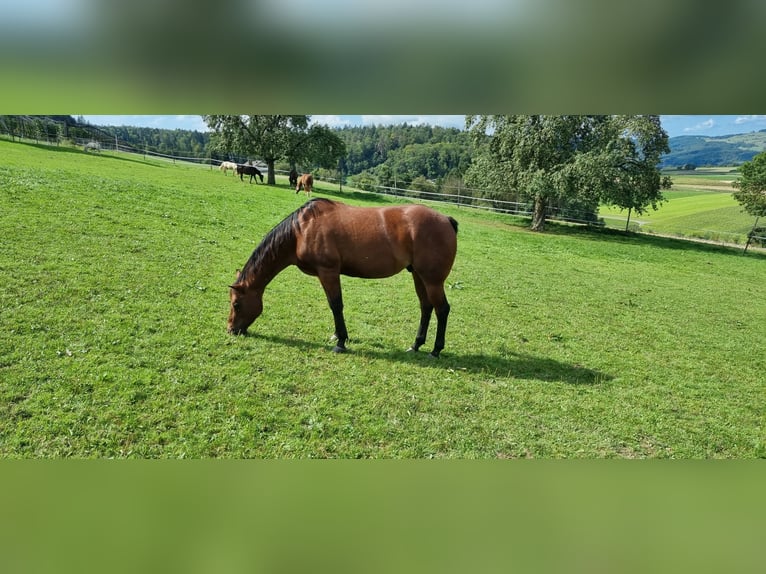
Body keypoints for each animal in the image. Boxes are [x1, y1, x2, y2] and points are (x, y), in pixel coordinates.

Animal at [228, 198, 458, 357]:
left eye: (237, 304)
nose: (231, 330)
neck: (301, 231)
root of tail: (446, 220)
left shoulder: (328, 272)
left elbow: (336, 305)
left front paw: (341, 342)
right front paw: (338, 336)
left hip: (433, 281)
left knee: (442, 309)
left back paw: (436, 350)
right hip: (419, 276)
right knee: (426, 308)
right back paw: (416, 345)